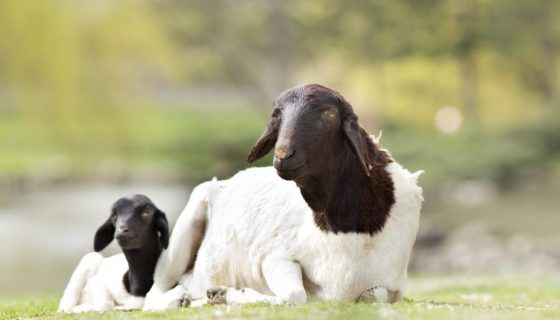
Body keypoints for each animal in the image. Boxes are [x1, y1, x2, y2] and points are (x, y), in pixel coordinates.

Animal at [142, 83, 422, 310]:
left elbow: (375, 295)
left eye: (329, 113)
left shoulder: (393, 287)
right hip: (179, 240)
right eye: (277, 115)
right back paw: (179, 299)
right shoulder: (276, 258)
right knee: (154, 293)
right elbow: (295, 296)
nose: (283, 156)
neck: (348, 231)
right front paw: (225, 294)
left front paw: (220, 295)